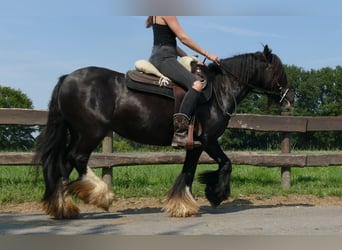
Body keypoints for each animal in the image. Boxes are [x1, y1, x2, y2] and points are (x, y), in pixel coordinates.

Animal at [36, 46, 296, 218]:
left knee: (63, 165)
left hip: (78, 132)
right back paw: (100, 196)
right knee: (76, 159)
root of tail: (67, 78)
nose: (291, 97)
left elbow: (192, 171)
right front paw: (214, 194)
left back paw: (63, 207)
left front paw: (185, 203)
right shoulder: (208, 140)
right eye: (278, 70)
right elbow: (223, 164)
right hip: (91, 132)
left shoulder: (197, 144)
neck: (218, 91)